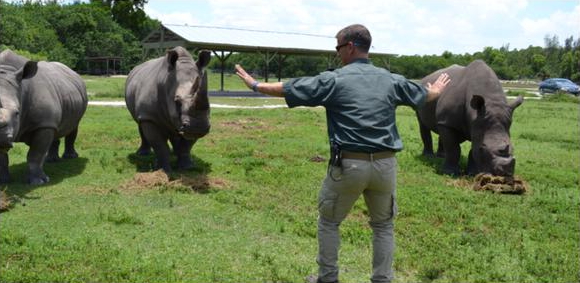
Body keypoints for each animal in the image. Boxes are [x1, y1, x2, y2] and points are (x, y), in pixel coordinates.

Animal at [0, 50, 88, 185]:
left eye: (17, 113)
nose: (2, 138)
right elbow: (2, 158)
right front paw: (3, 182)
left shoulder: (43, 124)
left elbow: (35, 154)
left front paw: (39, 182)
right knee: (56, 129)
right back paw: (51, 160)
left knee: (73, 126)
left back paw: (70, 157)